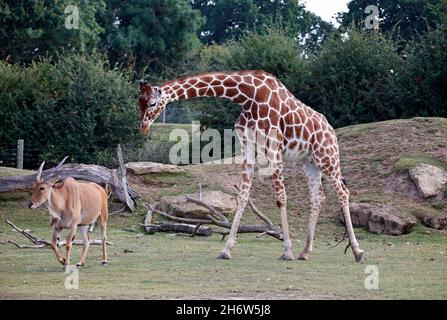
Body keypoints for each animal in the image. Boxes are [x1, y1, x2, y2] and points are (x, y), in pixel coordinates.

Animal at [138, 70, 366, 262]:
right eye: (138, 102)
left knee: (343, 192)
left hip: (327, 156)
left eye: (152, 104)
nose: (143, 128)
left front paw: (287, 251)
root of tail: (331, 130)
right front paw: (226, 249)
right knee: (319, 196)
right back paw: (305, 251)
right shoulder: (248, 149)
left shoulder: (274, 149)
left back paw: (357, 251)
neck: (248, 97)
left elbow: (281, 199)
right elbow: (242, 197)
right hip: (309, 162)